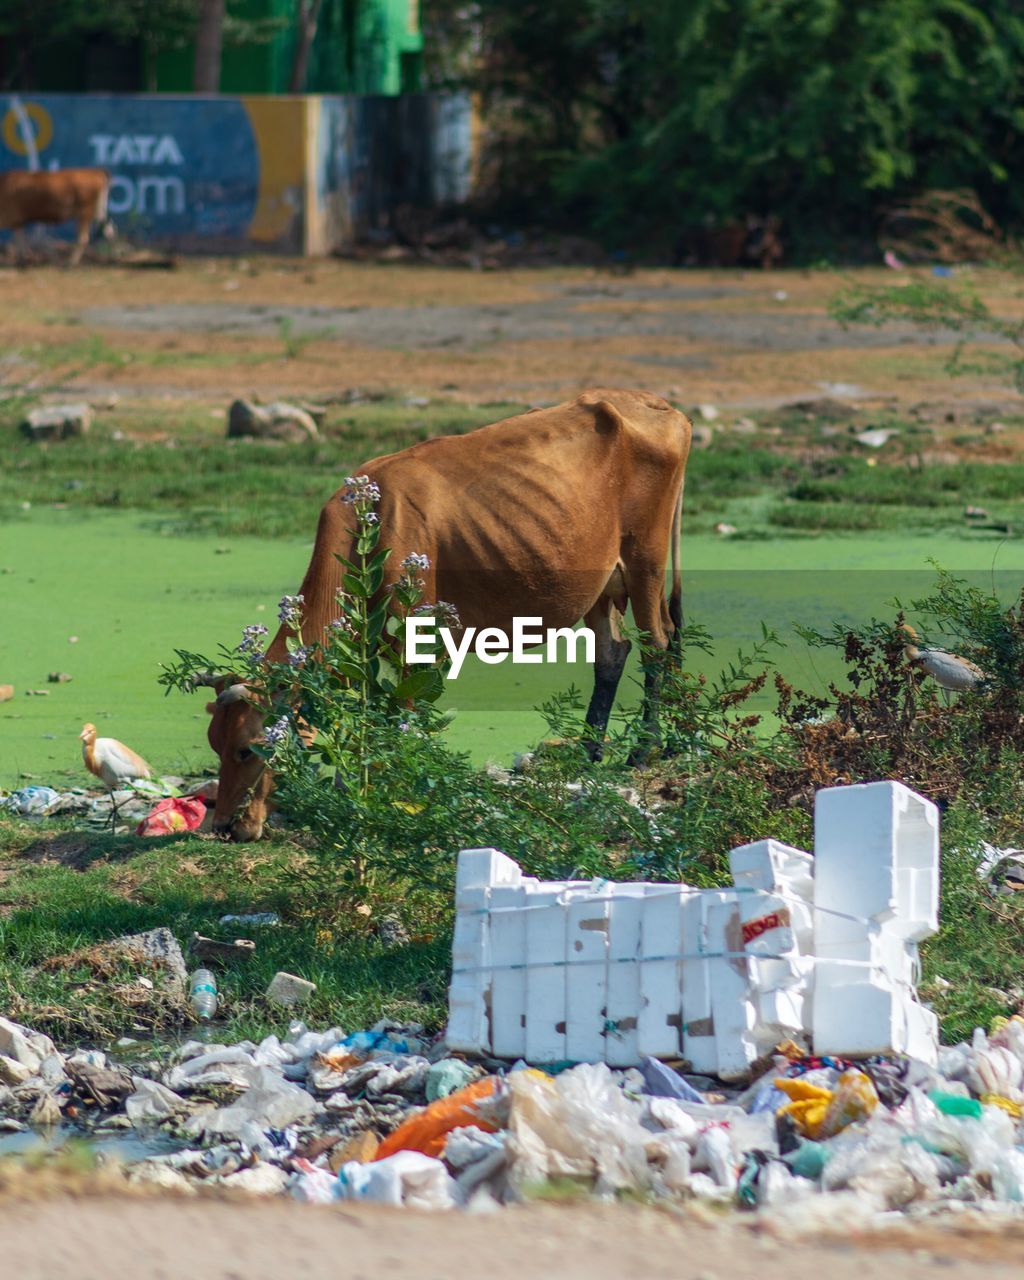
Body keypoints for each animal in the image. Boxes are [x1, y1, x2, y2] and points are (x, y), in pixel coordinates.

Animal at [199, 394, 691, 844]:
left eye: (246, 749)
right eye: (213, 743)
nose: (224, 826)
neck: (366, 530)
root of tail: (656, 404)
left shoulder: (416, 639)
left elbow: (405, 714)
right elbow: (367, 711)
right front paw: (350, 787)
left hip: (645, 560)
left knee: (658, 644)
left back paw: (645, 749)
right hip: (600, 582)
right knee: (614, 651)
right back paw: (598, 750)